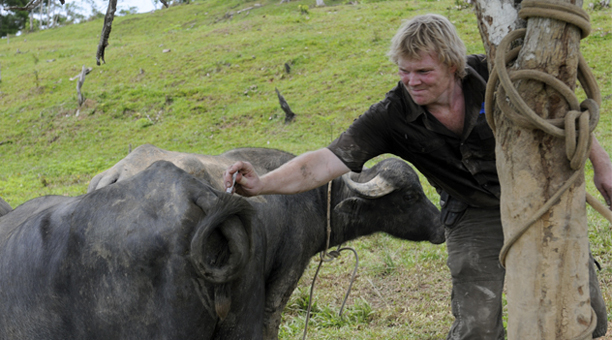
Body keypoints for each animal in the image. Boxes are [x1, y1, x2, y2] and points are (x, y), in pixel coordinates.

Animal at [86, 143, 442, 338]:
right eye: (410, 195)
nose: (440, 226)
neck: (317, 199)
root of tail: (116, 174)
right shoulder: (287, 270)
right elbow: (271, 319)